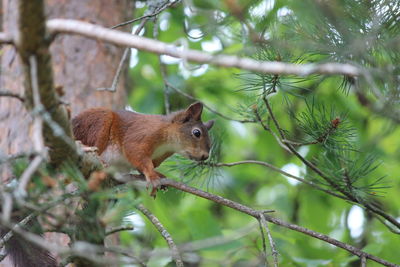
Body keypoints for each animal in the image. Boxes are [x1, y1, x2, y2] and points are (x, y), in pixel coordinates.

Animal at [72, 102, 216, 197]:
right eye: (196, 133)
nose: (205, 156)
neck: (167, 144)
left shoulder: (158, 157)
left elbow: (141, 167)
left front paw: (158, 175)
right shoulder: (141, 136)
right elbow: (135, 153)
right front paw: (152, 177)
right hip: (98, 124)